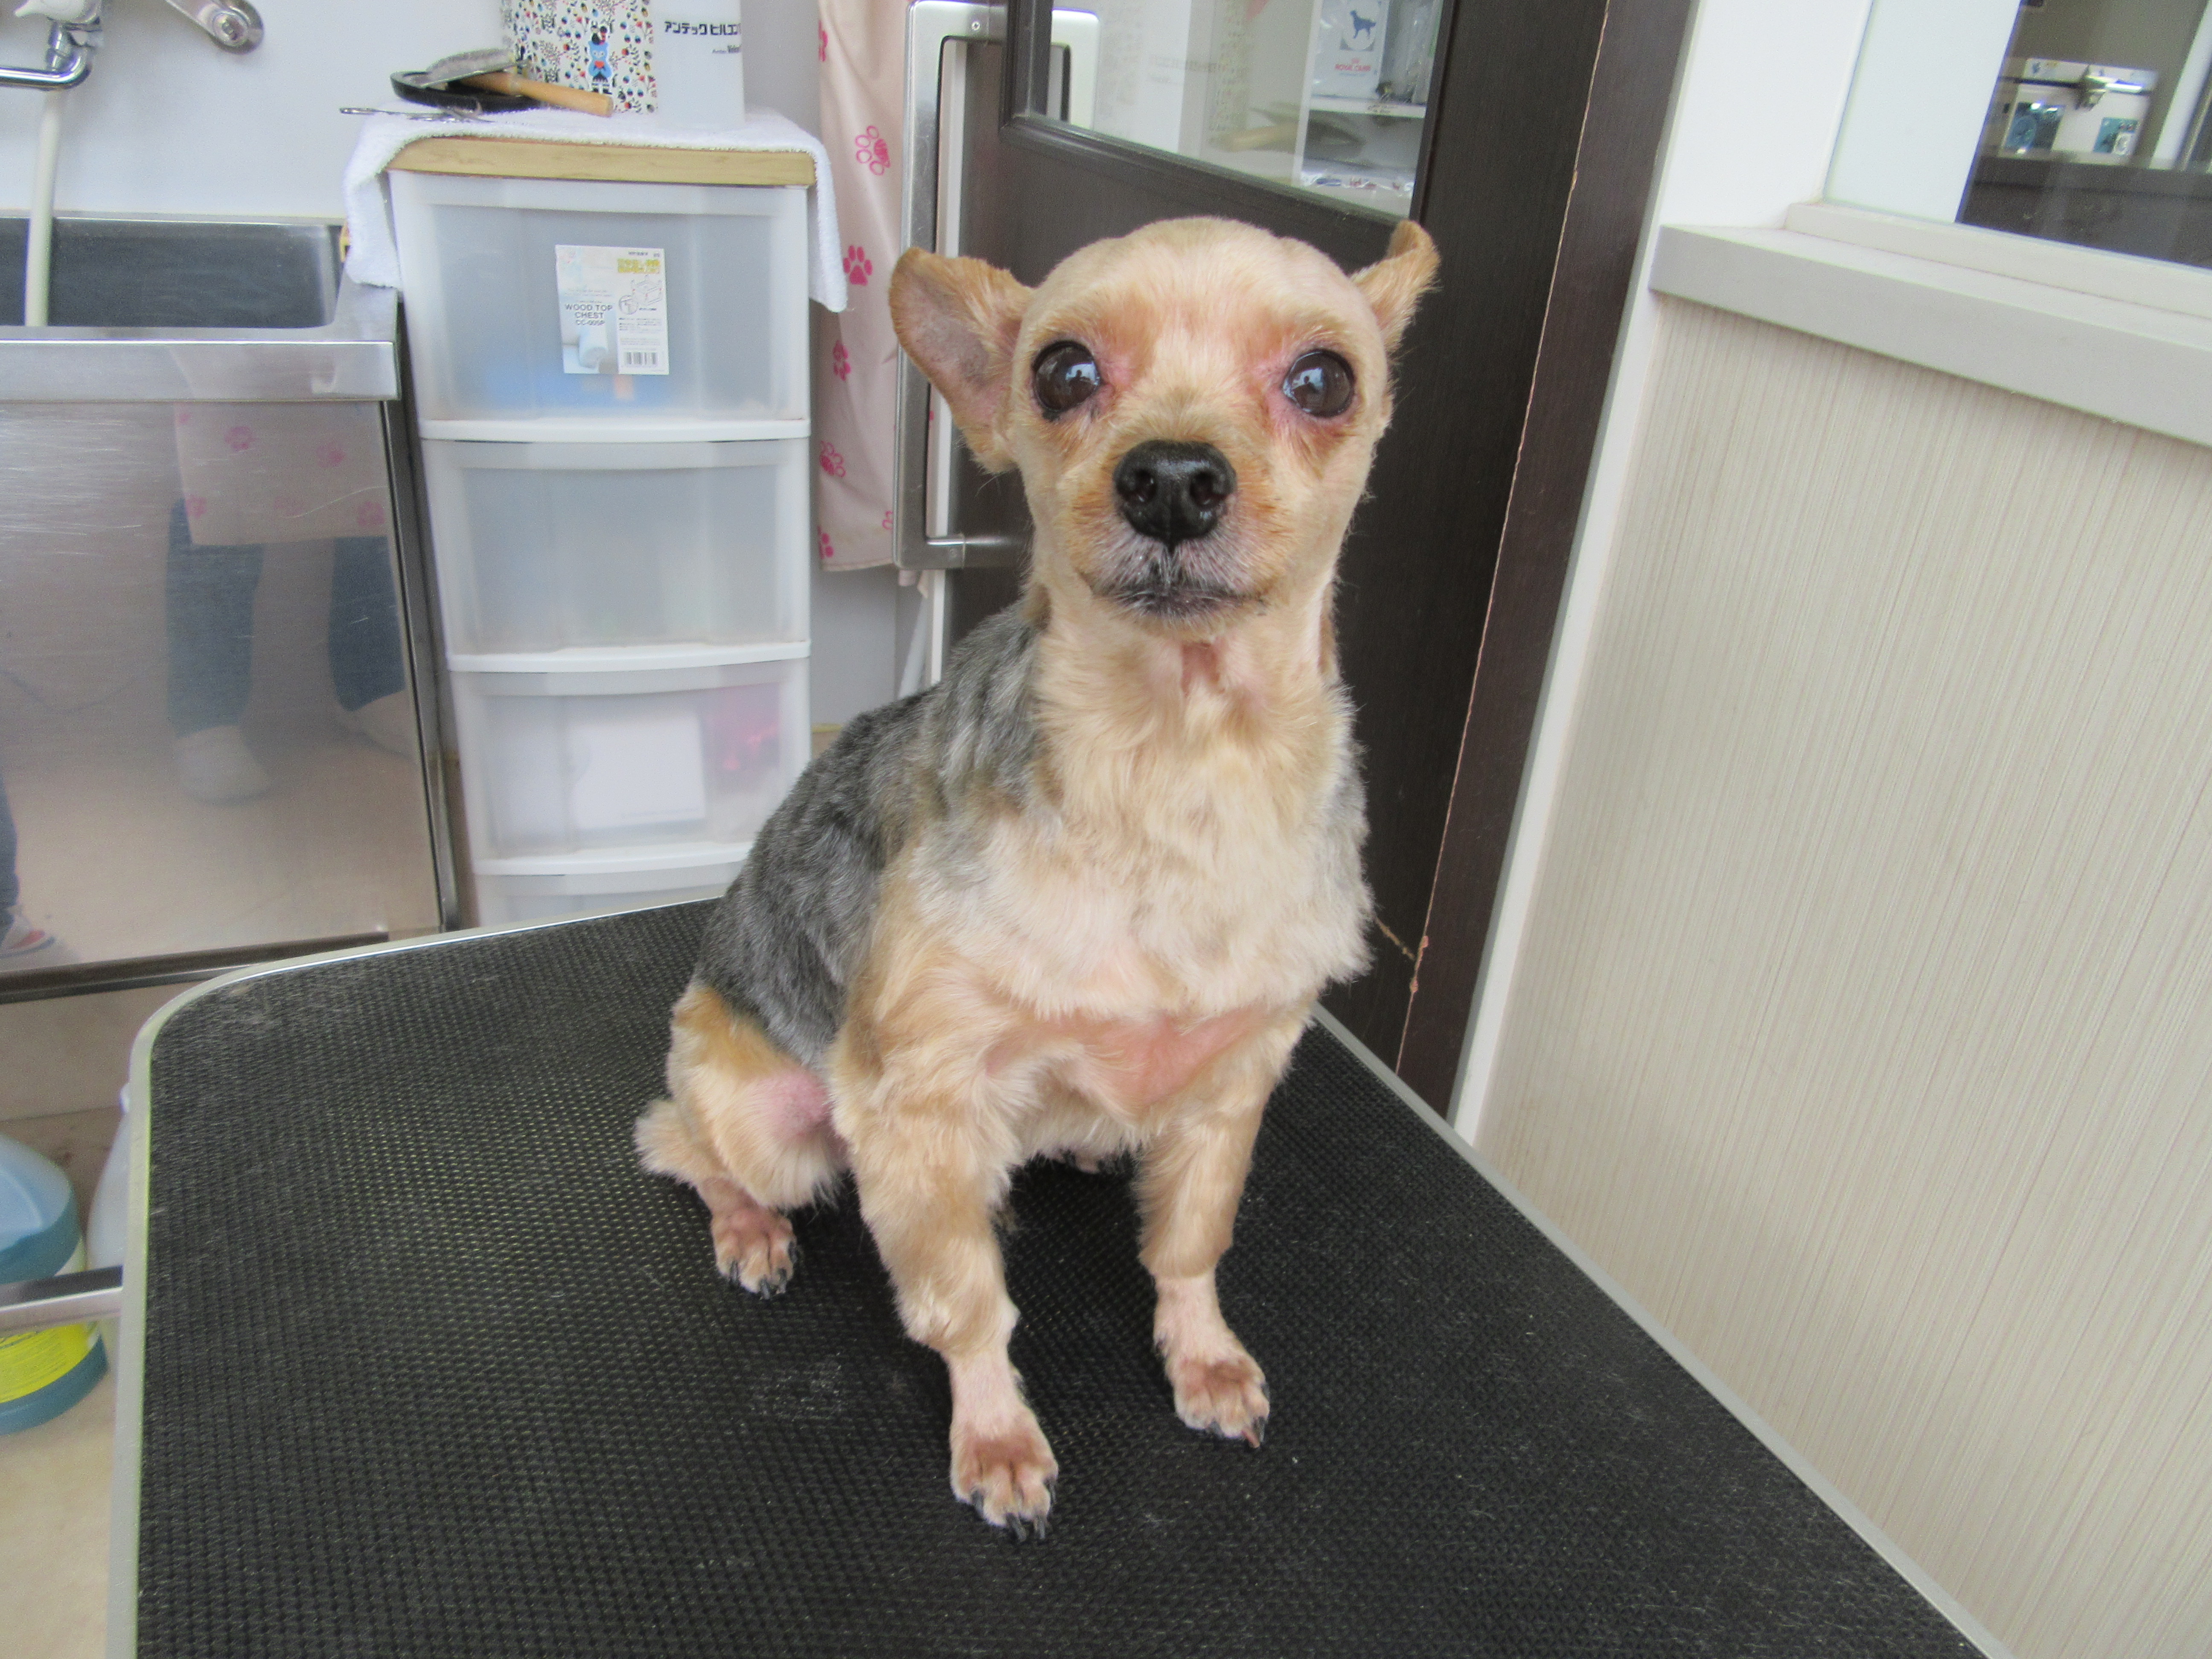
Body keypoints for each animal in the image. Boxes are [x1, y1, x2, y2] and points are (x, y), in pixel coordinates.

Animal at [636, 215, 1438, 1536]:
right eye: (1063, 371)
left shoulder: (1235, 1079)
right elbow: (966, 1301)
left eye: (1325, 380)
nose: (1172, 477)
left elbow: (1191, 1244)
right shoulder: (914, 1097)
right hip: (772, 1117)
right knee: (682, 1146)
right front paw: (998, 1435)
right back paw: (750, 1227)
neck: (1178, 759)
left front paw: (1202, 1356)